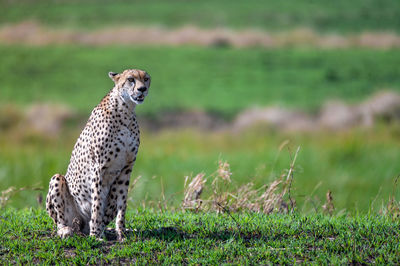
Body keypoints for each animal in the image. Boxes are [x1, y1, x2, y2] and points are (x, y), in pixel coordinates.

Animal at [45, 69, 151, 241]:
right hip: (58, 181)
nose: (142, 89)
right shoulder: (99, 168)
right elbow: (96, 203)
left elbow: (122, 205)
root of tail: (81, 227)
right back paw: (67, 230)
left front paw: (121, 234)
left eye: (146, 79)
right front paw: (96, 235)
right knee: (60, 220)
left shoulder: (126, 169)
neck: (126, 111)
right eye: (131, 79)